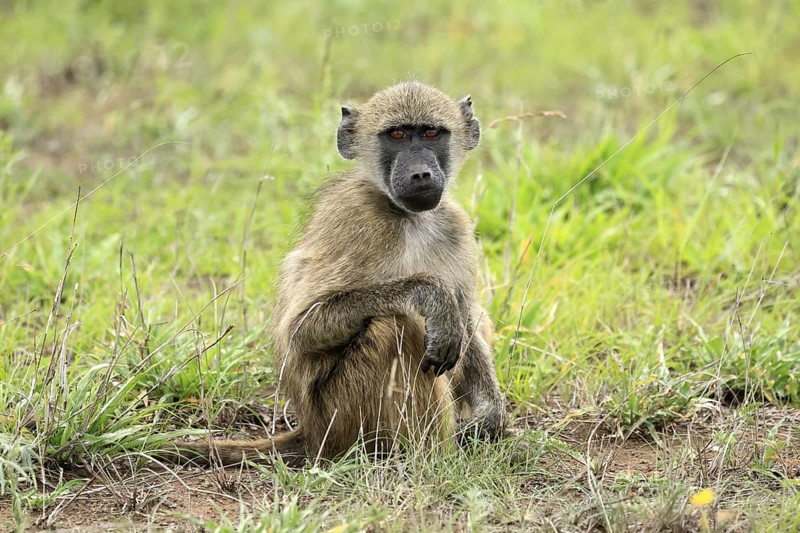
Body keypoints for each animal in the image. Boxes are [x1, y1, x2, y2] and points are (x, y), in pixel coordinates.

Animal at [166, 81, 506, 467]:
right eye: (397, 135)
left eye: (432, 133)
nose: (421, 173)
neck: (407, 216)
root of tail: (310, 431)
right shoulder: (357, 222)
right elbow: (301, 328)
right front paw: (430, 295)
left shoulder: (455, 226)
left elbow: (467, 317)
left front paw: (489, 414)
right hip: (340, 416)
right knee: (396, 327)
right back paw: (426, 455)